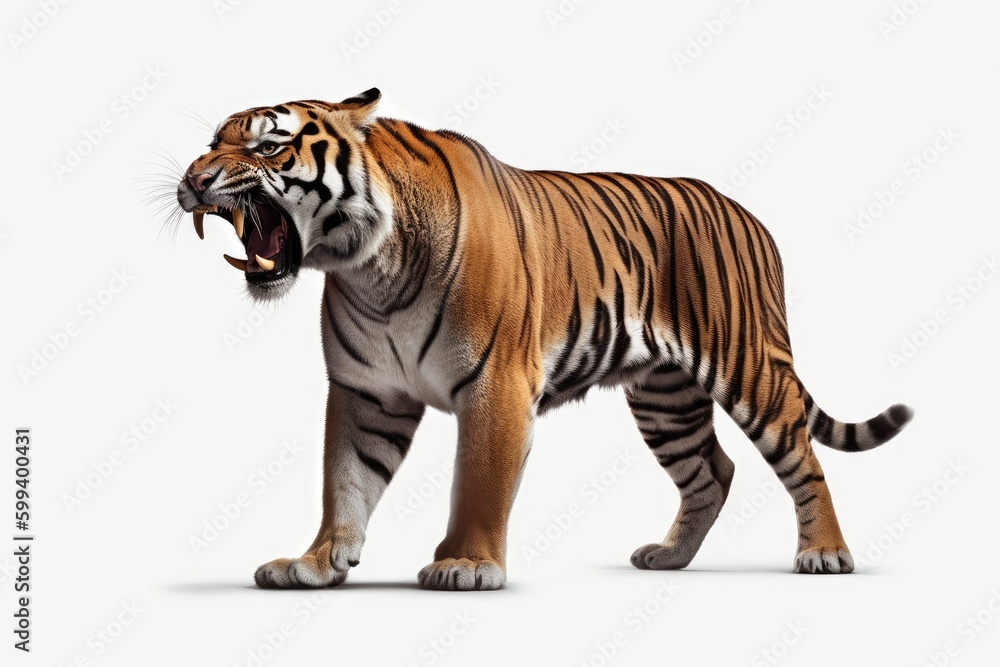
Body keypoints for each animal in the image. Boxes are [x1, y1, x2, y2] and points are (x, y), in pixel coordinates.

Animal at [175, 88, 914, 590]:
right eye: (212, 142)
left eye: (268, 146)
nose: (194, 180)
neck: (368, 268)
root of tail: (750, 214)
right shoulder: (366, 392)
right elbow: (345, 480)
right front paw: (317, 562)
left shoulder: (495, 385)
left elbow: (479, 481)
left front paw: (465, 564)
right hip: (666, 401)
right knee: (714, 471)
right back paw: (669, 556)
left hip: (749, 367)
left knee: (803, 458)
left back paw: (824, 553)